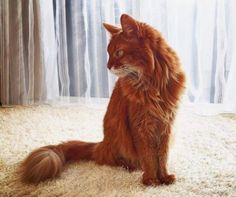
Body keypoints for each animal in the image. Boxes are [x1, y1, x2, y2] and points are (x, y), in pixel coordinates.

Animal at [19, 14, 186, 186]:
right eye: (109, 53)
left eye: (119, 52)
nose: (108, 66)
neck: (153, 83)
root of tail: (100, 144)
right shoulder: (141, 125)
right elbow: (149, 156)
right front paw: (151, 179)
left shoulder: (166, 123)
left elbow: (162, 156)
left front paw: (164, 177)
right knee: (111, 159)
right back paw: (129, 166)